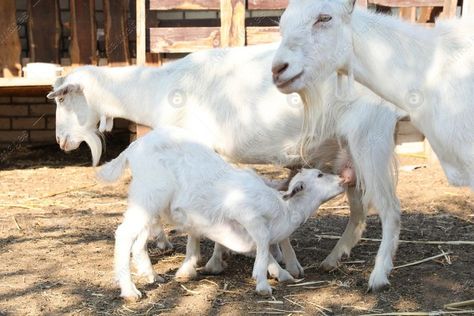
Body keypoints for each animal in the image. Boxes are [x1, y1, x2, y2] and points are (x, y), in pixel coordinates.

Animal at [99, 126, 344, 298]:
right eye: (319, 175)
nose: (343, 179)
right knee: (125, 234)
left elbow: (261, 249)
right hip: (150, 194)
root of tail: (133, 147)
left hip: (146, 200)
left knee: (139, 238)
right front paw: (263, 283)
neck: (283, 211)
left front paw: (279, 273)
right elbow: (263, 242)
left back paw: (152, 276)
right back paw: (130, 291)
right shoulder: (247, 214)